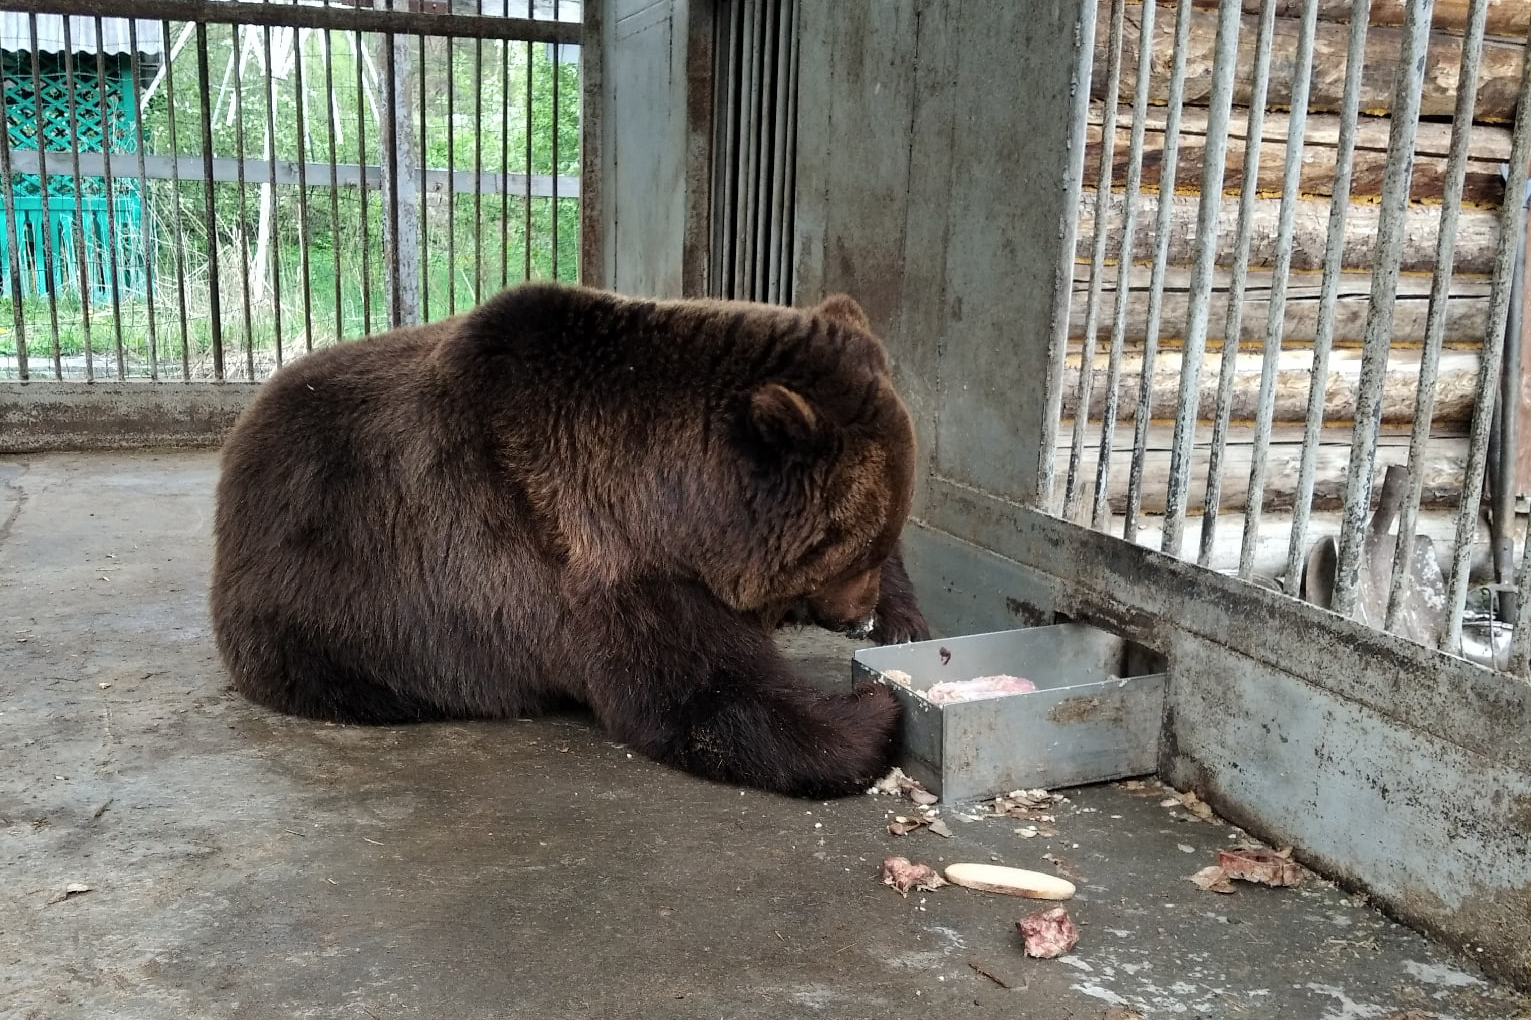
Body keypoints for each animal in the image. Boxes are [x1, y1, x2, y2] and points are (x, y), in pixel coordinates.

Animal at [208, 281, 924, 796]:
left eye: (876, 542)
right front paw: (873, 709)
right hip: (318, 601)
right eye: (849, 553)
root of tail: (237, 448)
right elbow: (701, 695)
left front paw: (906, 625)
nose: (858, 615)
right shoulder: (577, 566)